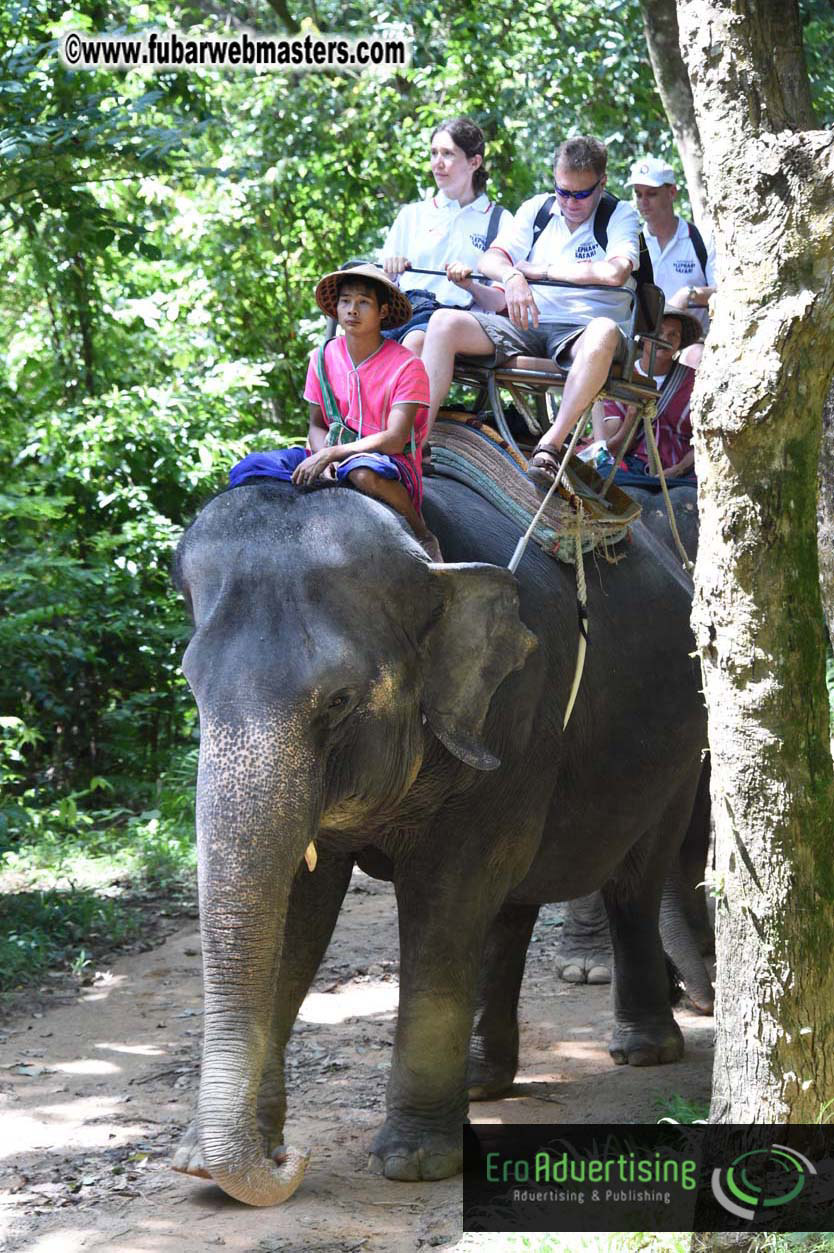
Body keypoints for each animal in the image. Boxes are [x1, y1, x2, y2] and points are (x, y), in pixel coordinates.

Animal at [170, 470, 707, 1206]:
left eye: (339, 700)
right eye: (192, 688)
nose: (291, 1159)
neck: (426, 555)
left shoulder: (514, 704)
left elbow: (446, 892)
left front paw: (414, 1163)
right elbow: (299, 909)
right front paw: (206, 1164)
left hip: (677, 742)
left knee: (633, 878)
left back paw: (644, 1050)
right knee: (511, 903)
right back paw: (484, 1081)